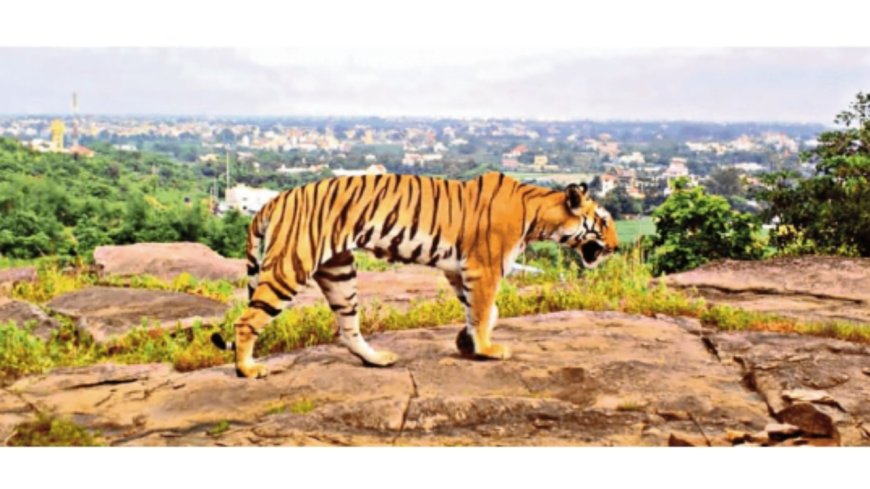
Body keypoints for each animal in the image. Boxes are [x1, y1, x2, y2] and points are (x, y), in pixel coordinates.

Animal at [211, 171, 618, 378]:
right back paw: (248, 369)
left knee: (347, 328)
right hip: (290, 267)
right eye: (603, 222)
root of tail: (273, 198)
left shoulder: (460, 269)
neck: (538, 214)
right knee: (246, 321)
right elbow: (484, 310)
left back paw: (376, 360)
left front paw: (467, 342)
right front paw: (487, 350)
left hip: (339, 271)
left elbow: (483, 311)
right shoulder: (483, 268)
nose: (615, 246)